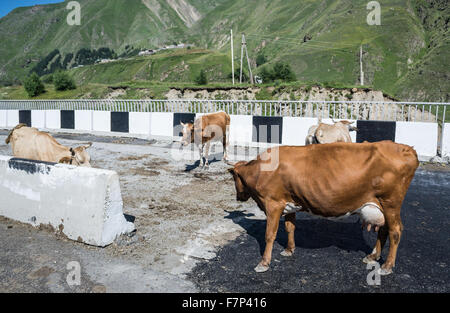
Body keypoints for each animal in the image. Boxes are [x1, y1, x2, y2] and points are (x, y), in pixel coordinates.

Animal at [229, 140, 418, 274]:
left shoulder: (273, 204)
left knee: (395, 230)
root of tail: (406, 148)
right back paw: (372, 256)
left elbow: (269, 235)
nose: (238, 197)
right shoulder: (290, 204)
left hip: (391, 202)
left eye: (234, 178)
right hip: (382, 206)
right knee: (384, 230)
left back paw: (387, 266)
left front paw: (264, 263)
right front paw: (289, 250)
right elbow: (290, 227)